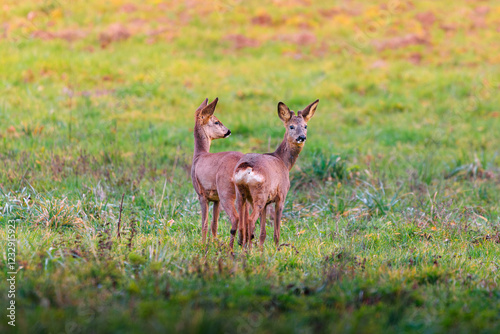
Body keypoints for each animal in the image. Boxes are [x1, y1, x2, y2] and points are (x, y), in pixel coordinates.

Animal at [190, 98, 247, 244]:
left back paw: (231, 247)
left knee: (236, 217)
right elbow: (214, 224)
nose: (228, 131)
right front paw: (214, 242)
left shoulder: (201, 194)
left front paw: (203, 245)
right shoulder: (216, 199)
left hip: (225, 191)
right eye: (216, 121)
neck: (199, 155)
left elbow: (204, 224)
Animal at [232, 99, 318, 248]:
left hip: (241, 194)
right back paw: (248, 250)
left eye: (305, 126)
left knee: (241, 223)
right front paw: (277, 249)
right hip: (260, 193)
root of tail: (247, 167)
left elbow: (263, 233)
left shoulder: (267, 202)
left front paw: (261, 250)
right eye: (291, 126)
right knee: (250, 220)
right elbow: (276, 231)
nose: (302, 137)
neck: (283, 162)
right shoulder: (281, 195)